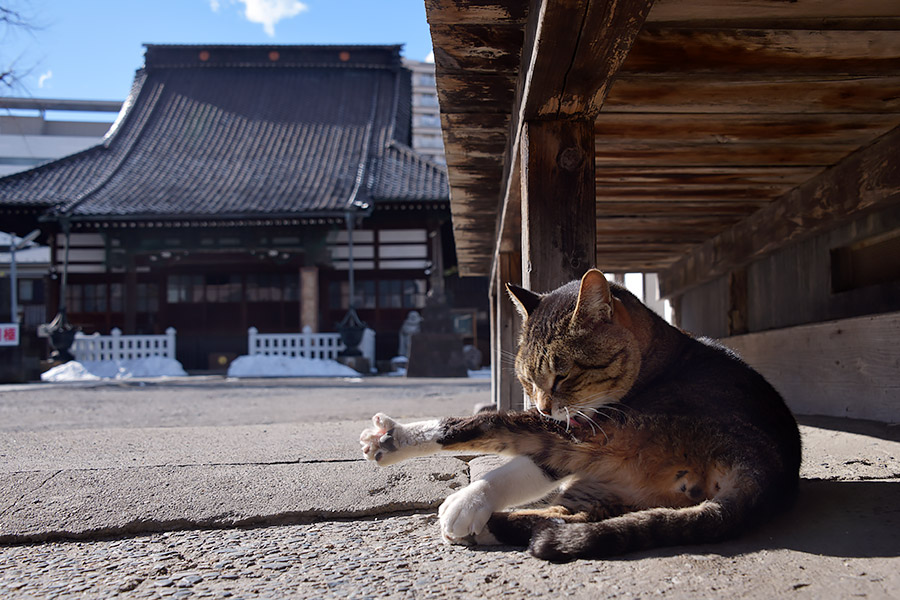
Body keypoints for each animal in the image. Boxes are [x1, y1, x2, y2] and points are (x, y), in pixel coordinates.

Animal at [358, 270, 800, 560]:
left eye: (563, 374)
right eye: (526, 379)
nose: (541, 406)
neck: (659, 352)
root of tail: (766, 467)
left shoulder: (582, 428)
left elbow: (499, 434)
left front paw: (466, 502)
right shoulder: (571, 431)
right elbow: (528, 467)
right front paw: (474, 502)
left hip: (624, 438)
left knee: (496, 429)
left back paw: (397, 443)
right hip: (605, 486)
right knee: (568, 516)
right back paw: (495, 527)